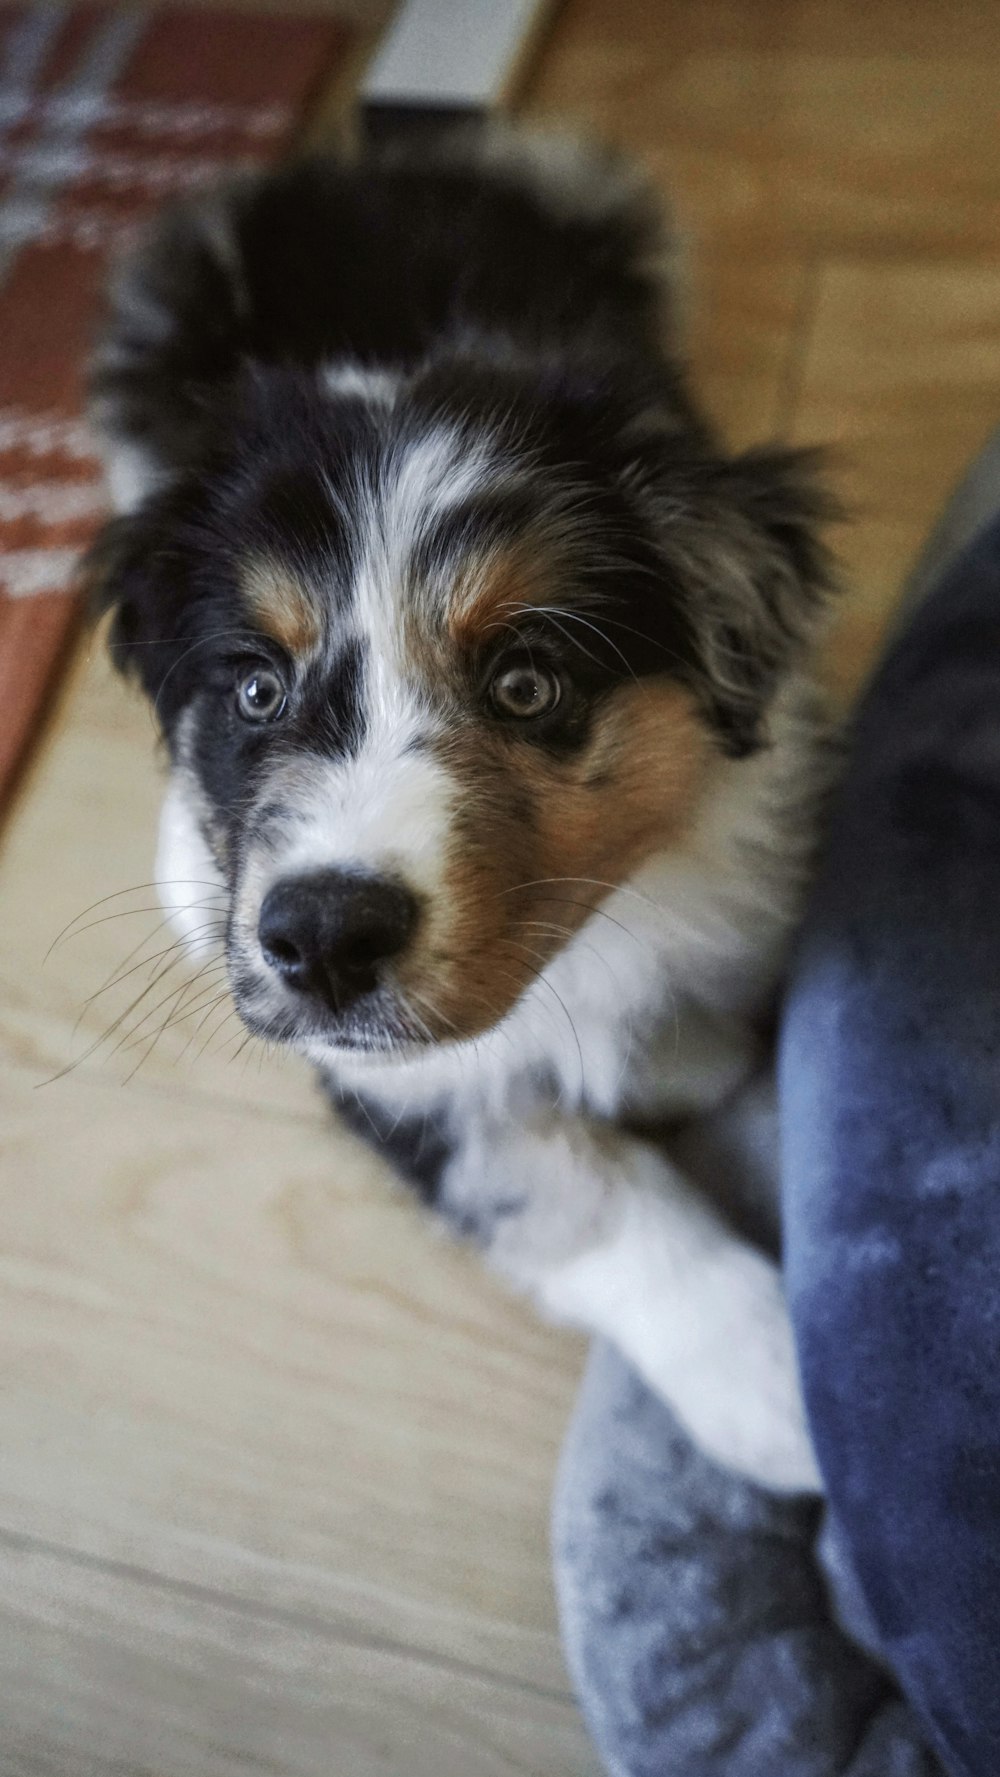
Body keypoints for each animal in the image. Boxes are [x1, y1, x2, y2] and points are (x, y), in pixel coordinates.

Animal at [87, 128, 838, 1485]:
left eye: (526, 682)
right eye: (257, 689)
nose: (324, 939)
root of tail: (361, 161)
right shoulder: (374, 1065)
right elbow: (564, 1186)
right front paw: (771, 1392)